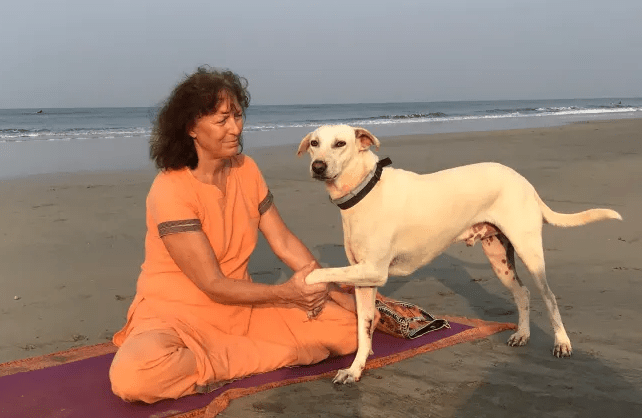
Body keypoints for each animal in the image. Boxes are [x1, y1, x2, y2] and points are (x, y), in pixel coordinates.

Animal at [297, 124, 622, 384]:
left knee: (549, 297)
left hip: (530, 253)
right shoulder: (365, 281)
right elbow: (363, 332)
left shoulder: (374, 271)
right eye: (314, 143)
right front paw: (355, 370)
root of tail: (524, 182)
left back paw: (562, 343)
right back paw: (523, 334)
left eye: (340, 143)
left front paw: (306, 291)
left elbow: (318, 273)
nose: (318, 166)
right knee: (523, 293)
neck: (365, 190)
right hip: (499, 259)